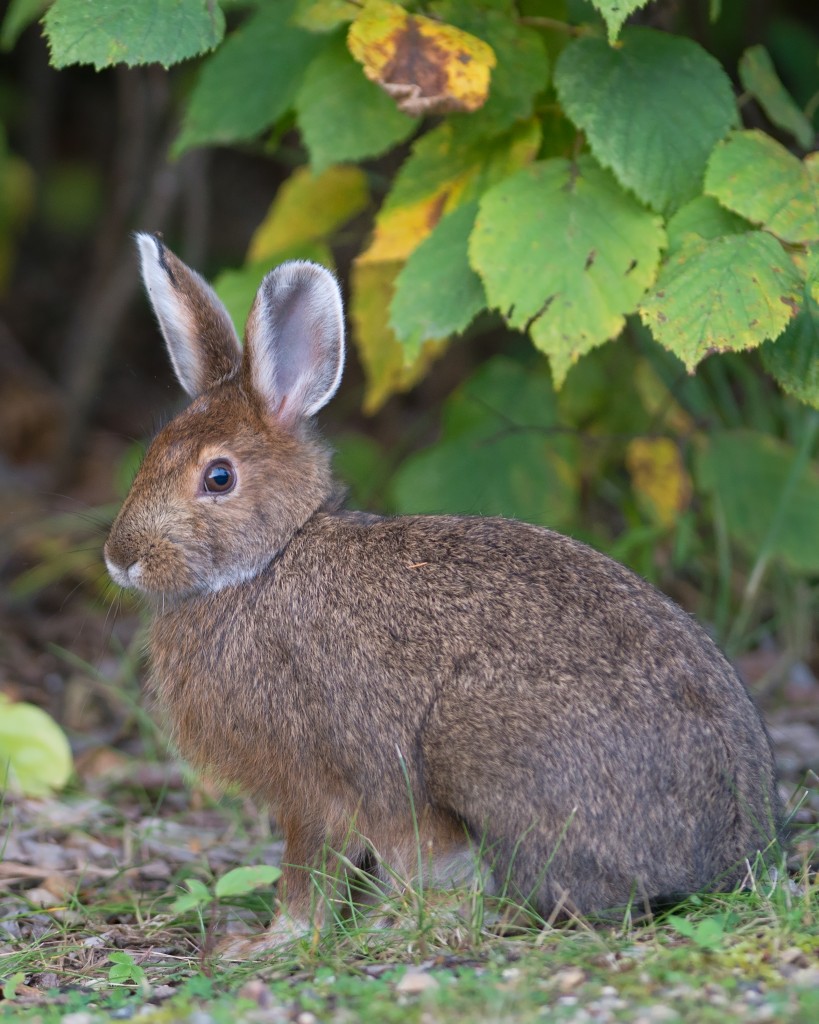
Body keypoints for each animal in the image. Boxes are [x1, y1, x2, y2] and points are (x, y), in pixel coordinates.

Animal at [105, 233, 783, 956]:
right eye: (151, 454)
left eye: (219, 477)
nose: (121, 559)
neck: (270, 558)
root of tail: (731, 847)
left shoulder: (318, 782)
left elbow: (309, 874)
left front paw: (273, 943)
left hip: (487, 754)